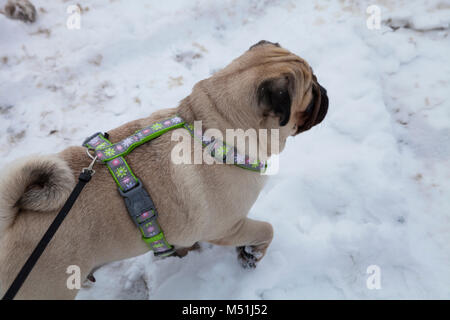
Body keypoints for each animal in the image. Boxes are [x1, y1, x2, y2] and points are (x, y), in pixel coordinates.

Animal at [0, 40, 326, 300]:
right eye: (311, 91)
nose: (324, 90)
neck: (211, 131)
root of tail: (11, 222)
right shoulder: (230, 227)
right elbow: (267, 229)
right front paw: (251, 255)